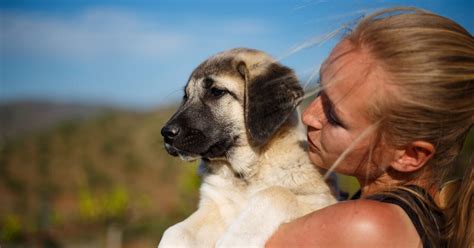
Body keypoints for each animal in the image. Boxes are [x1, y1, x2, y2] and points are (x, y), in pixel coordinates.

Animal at [159, 47, 336, 247]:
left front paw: (234, 241)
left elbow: (275, 193)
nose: (166, 133)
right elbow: (175, 231)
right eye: (186, 96)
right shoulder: (215, 206)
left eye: (216, 92)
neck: (246, 174)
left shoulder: (320, 201)